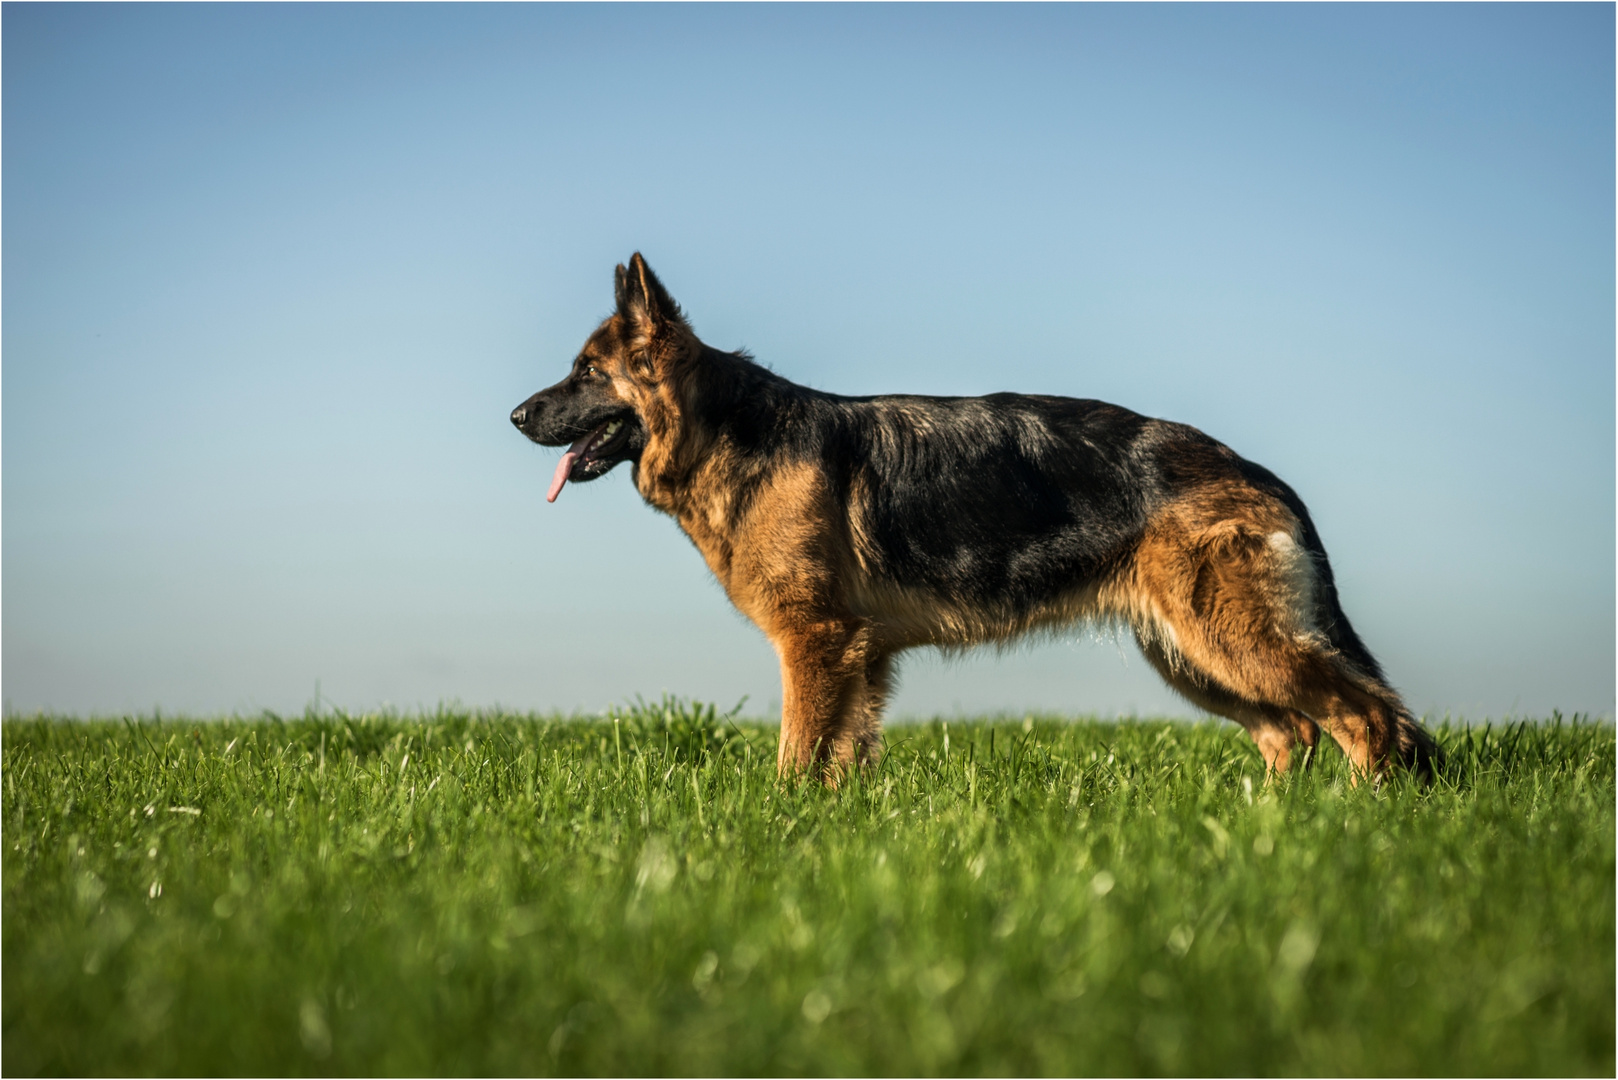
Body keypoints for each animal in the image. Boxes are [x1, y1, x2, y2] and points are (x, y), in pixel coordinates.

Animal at [511, 257, 1436, 780]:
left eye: (586, 372)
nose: (515, 416)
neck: (730, 433)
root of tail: (1258, 473)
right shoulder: (861, 659)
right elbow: (844, 759)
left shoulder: (817, 643)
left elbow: (796, 756)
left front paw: (781, 829)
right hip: (1195, 657)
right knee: (1293, 734)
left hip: (1232, 641)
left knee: (1366, 720)